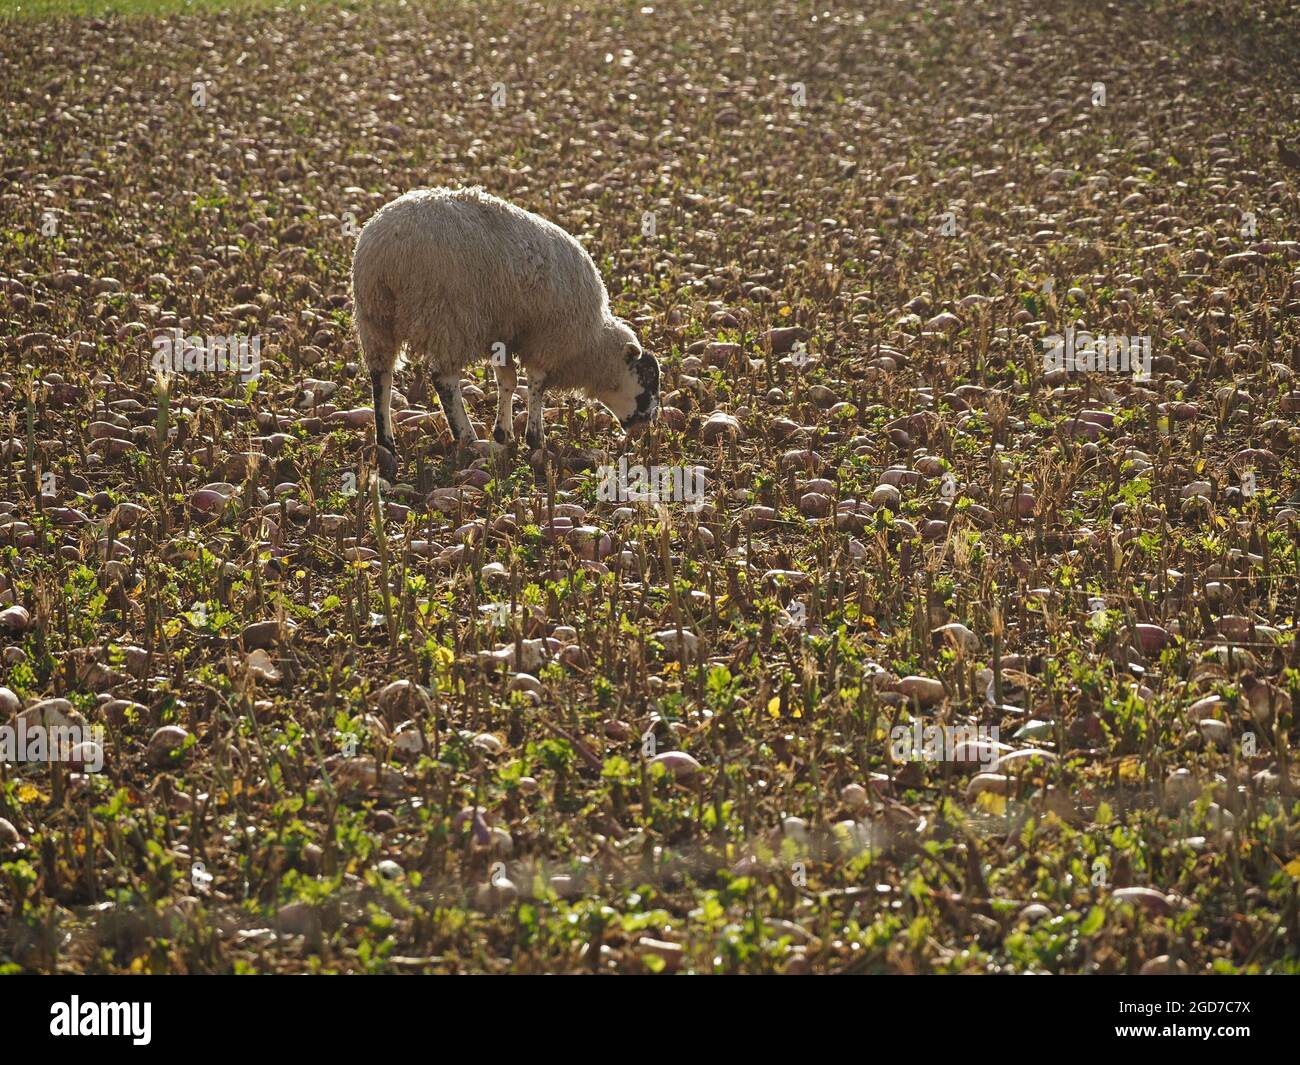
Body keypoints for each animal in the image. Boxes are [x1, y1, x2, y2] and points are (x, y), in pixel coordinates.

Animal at [351, 187, 660, 475]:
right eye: (646, 380)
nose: (647, 424)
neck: (593, 341)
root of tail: (386, 251)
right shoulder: (546, 340)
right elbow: (536, 384)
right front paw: (535, 438)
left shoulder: (502, 335)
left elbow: (507, 380)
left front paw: (504, 434)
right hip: (448, 316)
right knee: (443, 379)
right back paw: (465, 435)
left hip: (375, 316)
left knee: (381, 378)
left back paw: (386, 442)